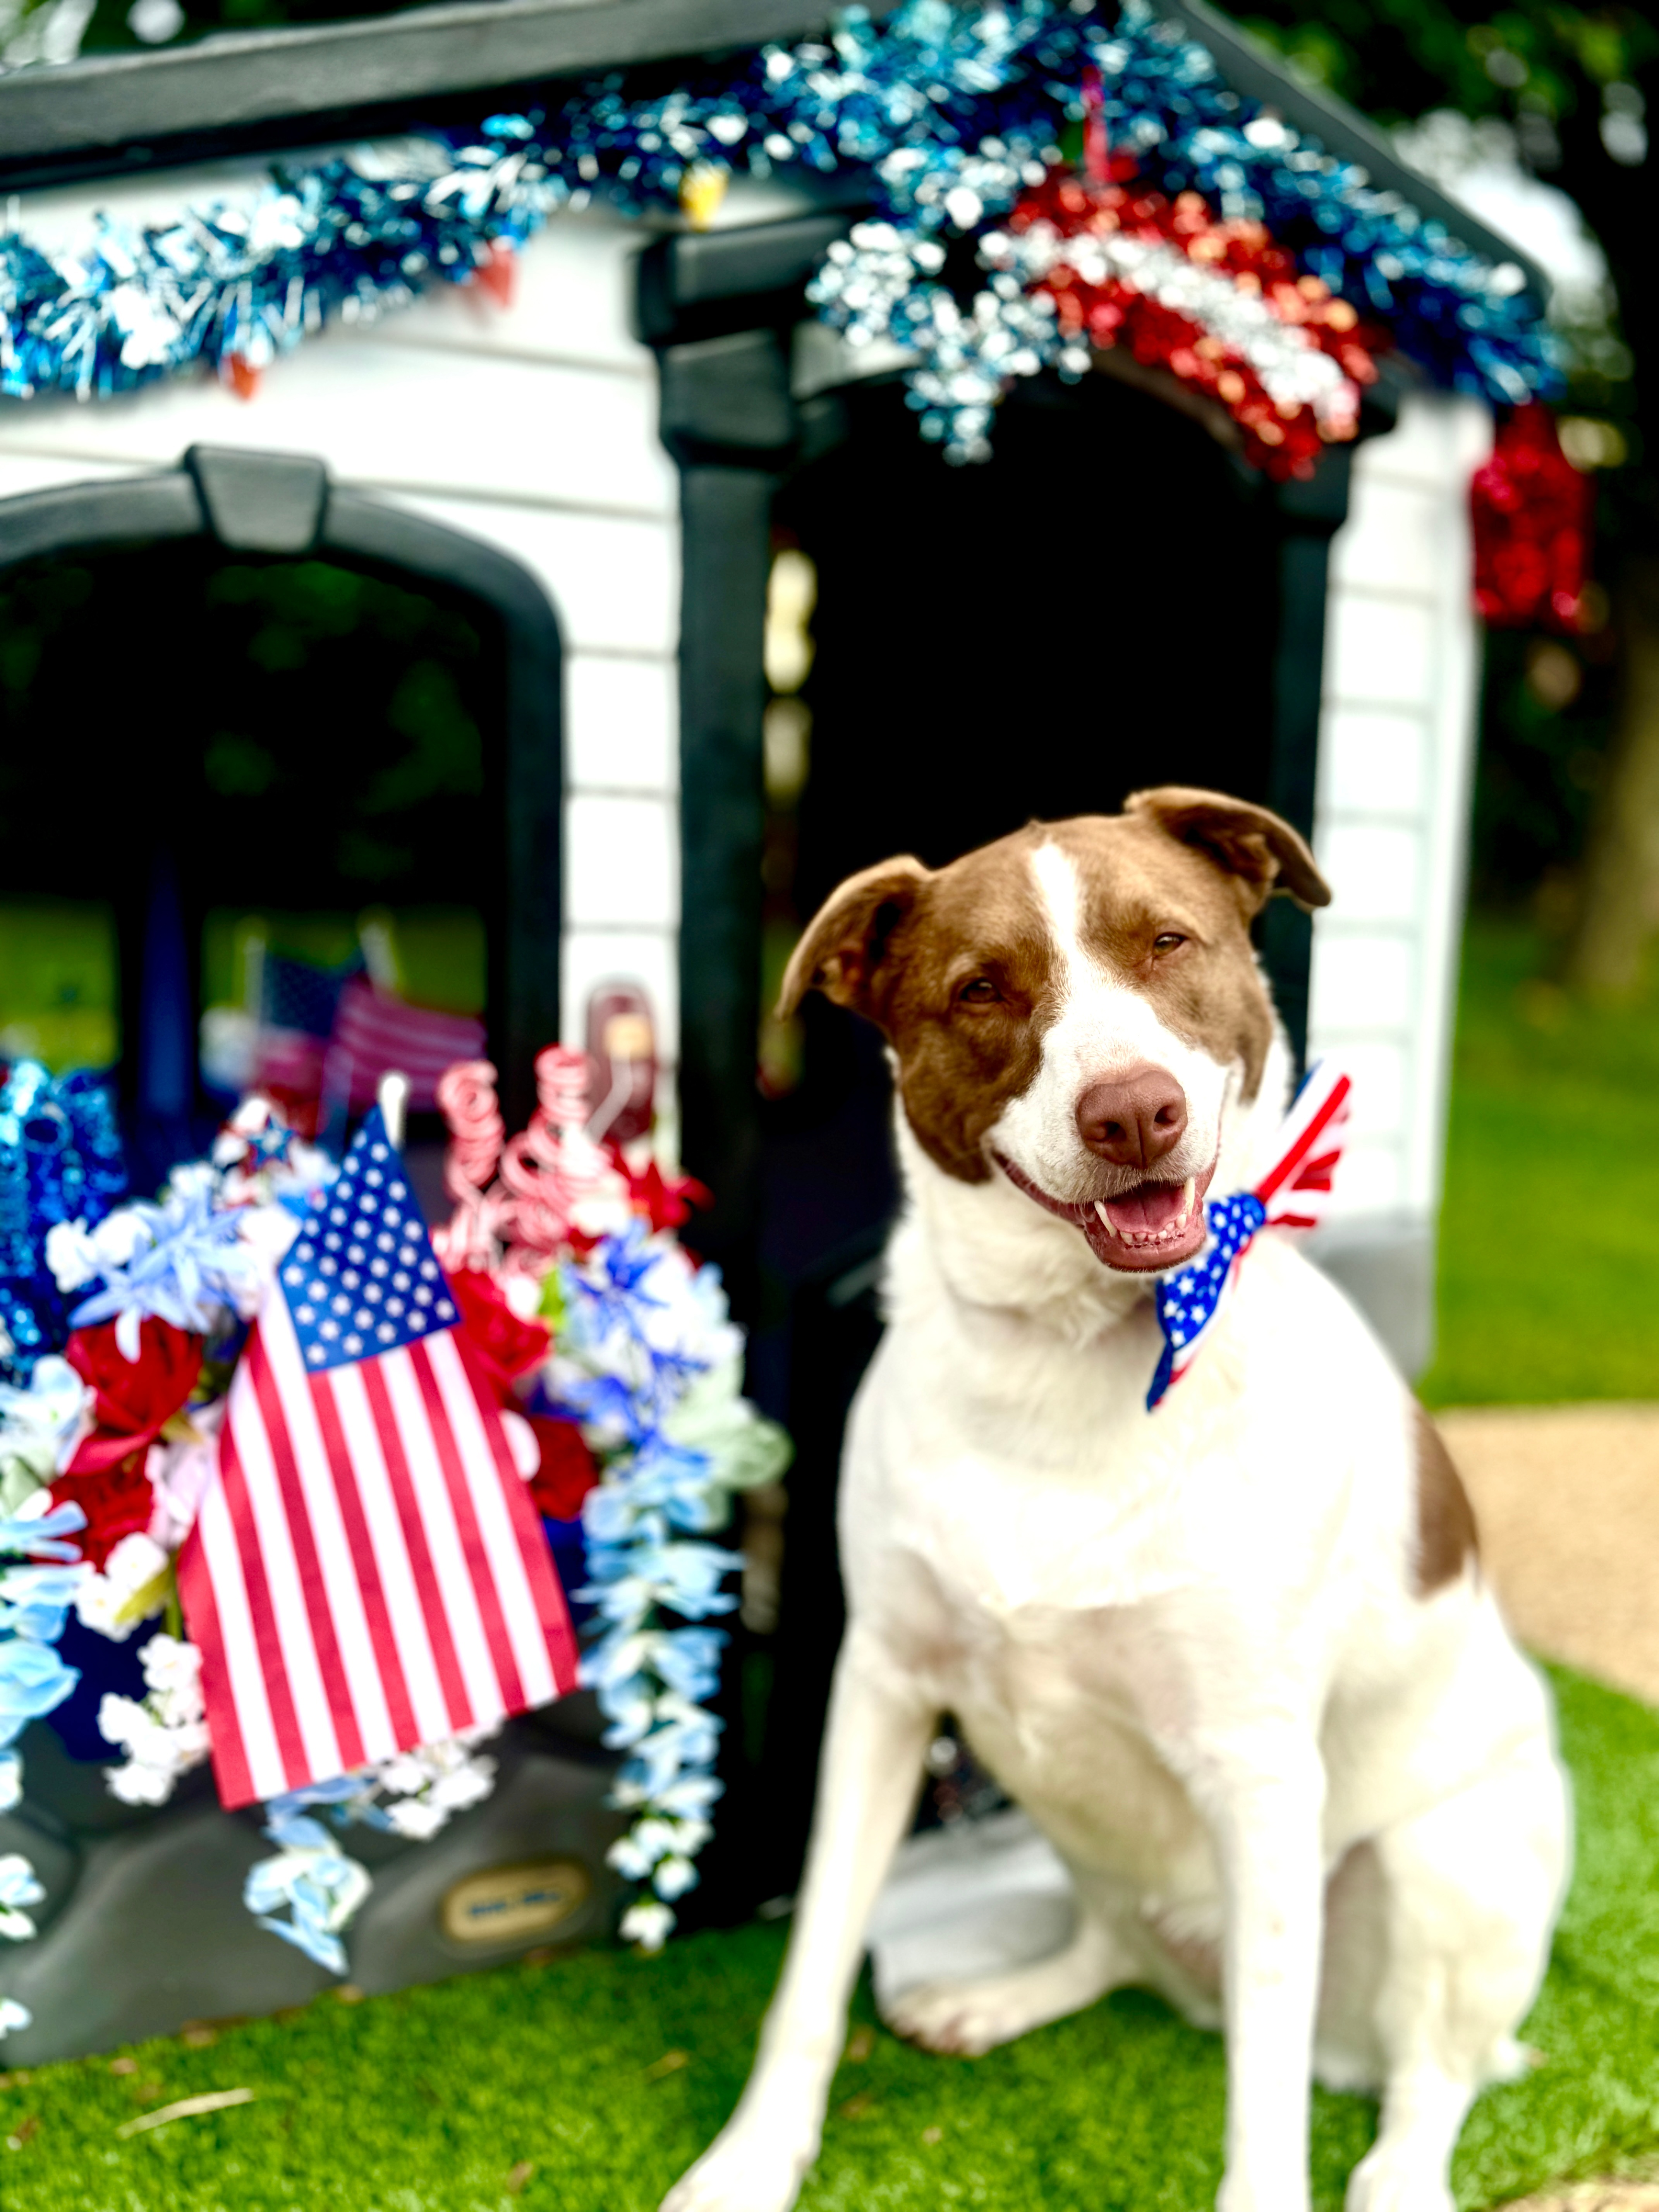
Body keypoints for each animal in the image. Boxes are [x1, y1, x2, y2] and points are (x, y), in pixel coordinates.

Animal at [668, 792, 1575, 2212]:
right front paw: (752, 2161)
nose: (1133, 1114)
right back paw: (996, 1997)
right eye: (983, 988)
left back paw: (1398, 2174)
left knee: (1423, 2076)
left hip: (1449, 1862)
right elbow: (812, 1965)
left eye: (1167, 941)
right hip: (1075, 1823)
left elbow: (1262, 2095)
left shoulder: (1258, 1768)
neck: (1071, 1349)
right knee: (1115, 1950)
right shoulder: (879, 1689)